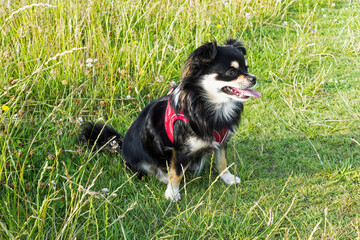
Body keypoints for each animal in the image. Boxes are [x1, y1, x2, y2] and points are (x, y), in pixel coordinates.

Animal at [81, 39, 260, 201]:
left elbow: (222, 162)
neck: (210, 106)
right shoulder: (180, 150)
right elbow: (176, 173)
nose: (254, 78)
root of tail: (120, 142)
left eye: (246, 68)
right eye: (231, 72)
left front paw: (227, 178)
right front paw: (172, 193)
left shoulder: (222, 141)